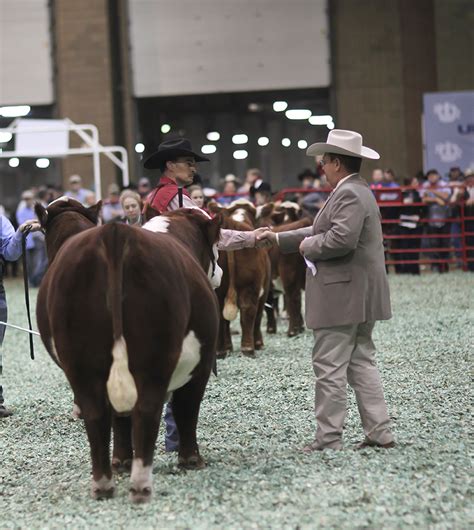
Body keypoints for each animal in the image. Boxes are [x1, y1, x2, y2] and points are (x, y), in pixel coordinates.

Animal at [35, 197, 220, 500]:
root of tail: (115, 234)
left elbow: (119, 419)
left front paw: (121, 460)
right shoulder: (201, 364)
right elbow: (187, 408)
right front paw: (191, 459)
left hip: (83, 365)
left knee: (97, 414)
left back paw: (103, 483)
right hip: (153, 359)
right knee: (147, 409)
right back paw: (141, 483)